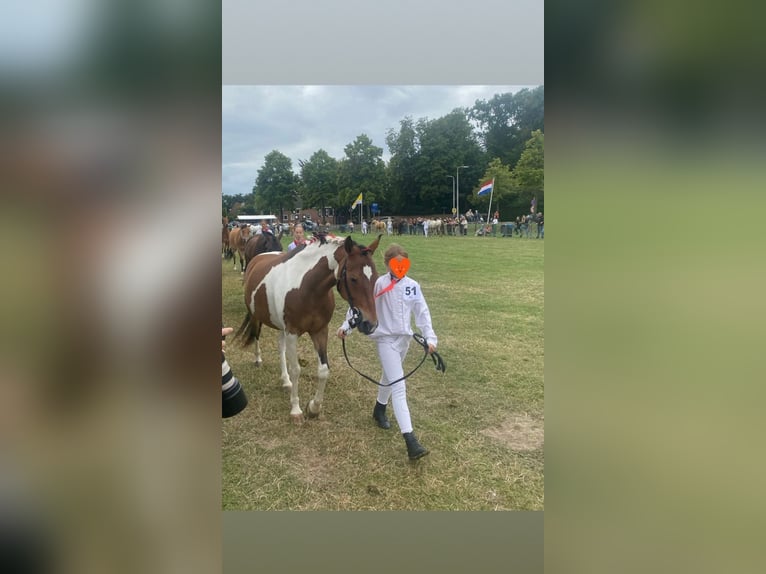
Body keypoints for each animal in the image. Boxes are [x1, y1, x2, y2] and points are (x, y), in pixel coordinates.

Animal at [237, 233, 384, 424]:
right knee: (256, 335)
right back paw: (258, 359)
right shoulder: (293, 332)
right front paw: (296, 410)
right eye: (353, 278)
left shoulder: (320, 331)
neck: (307, 288)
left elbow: (323, 370)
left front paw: (313, 408)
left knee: (280, 346)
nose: (370, 324)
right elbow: (296, 370)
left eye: (376, 277)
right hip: (256, 316)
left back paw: (285, 381)